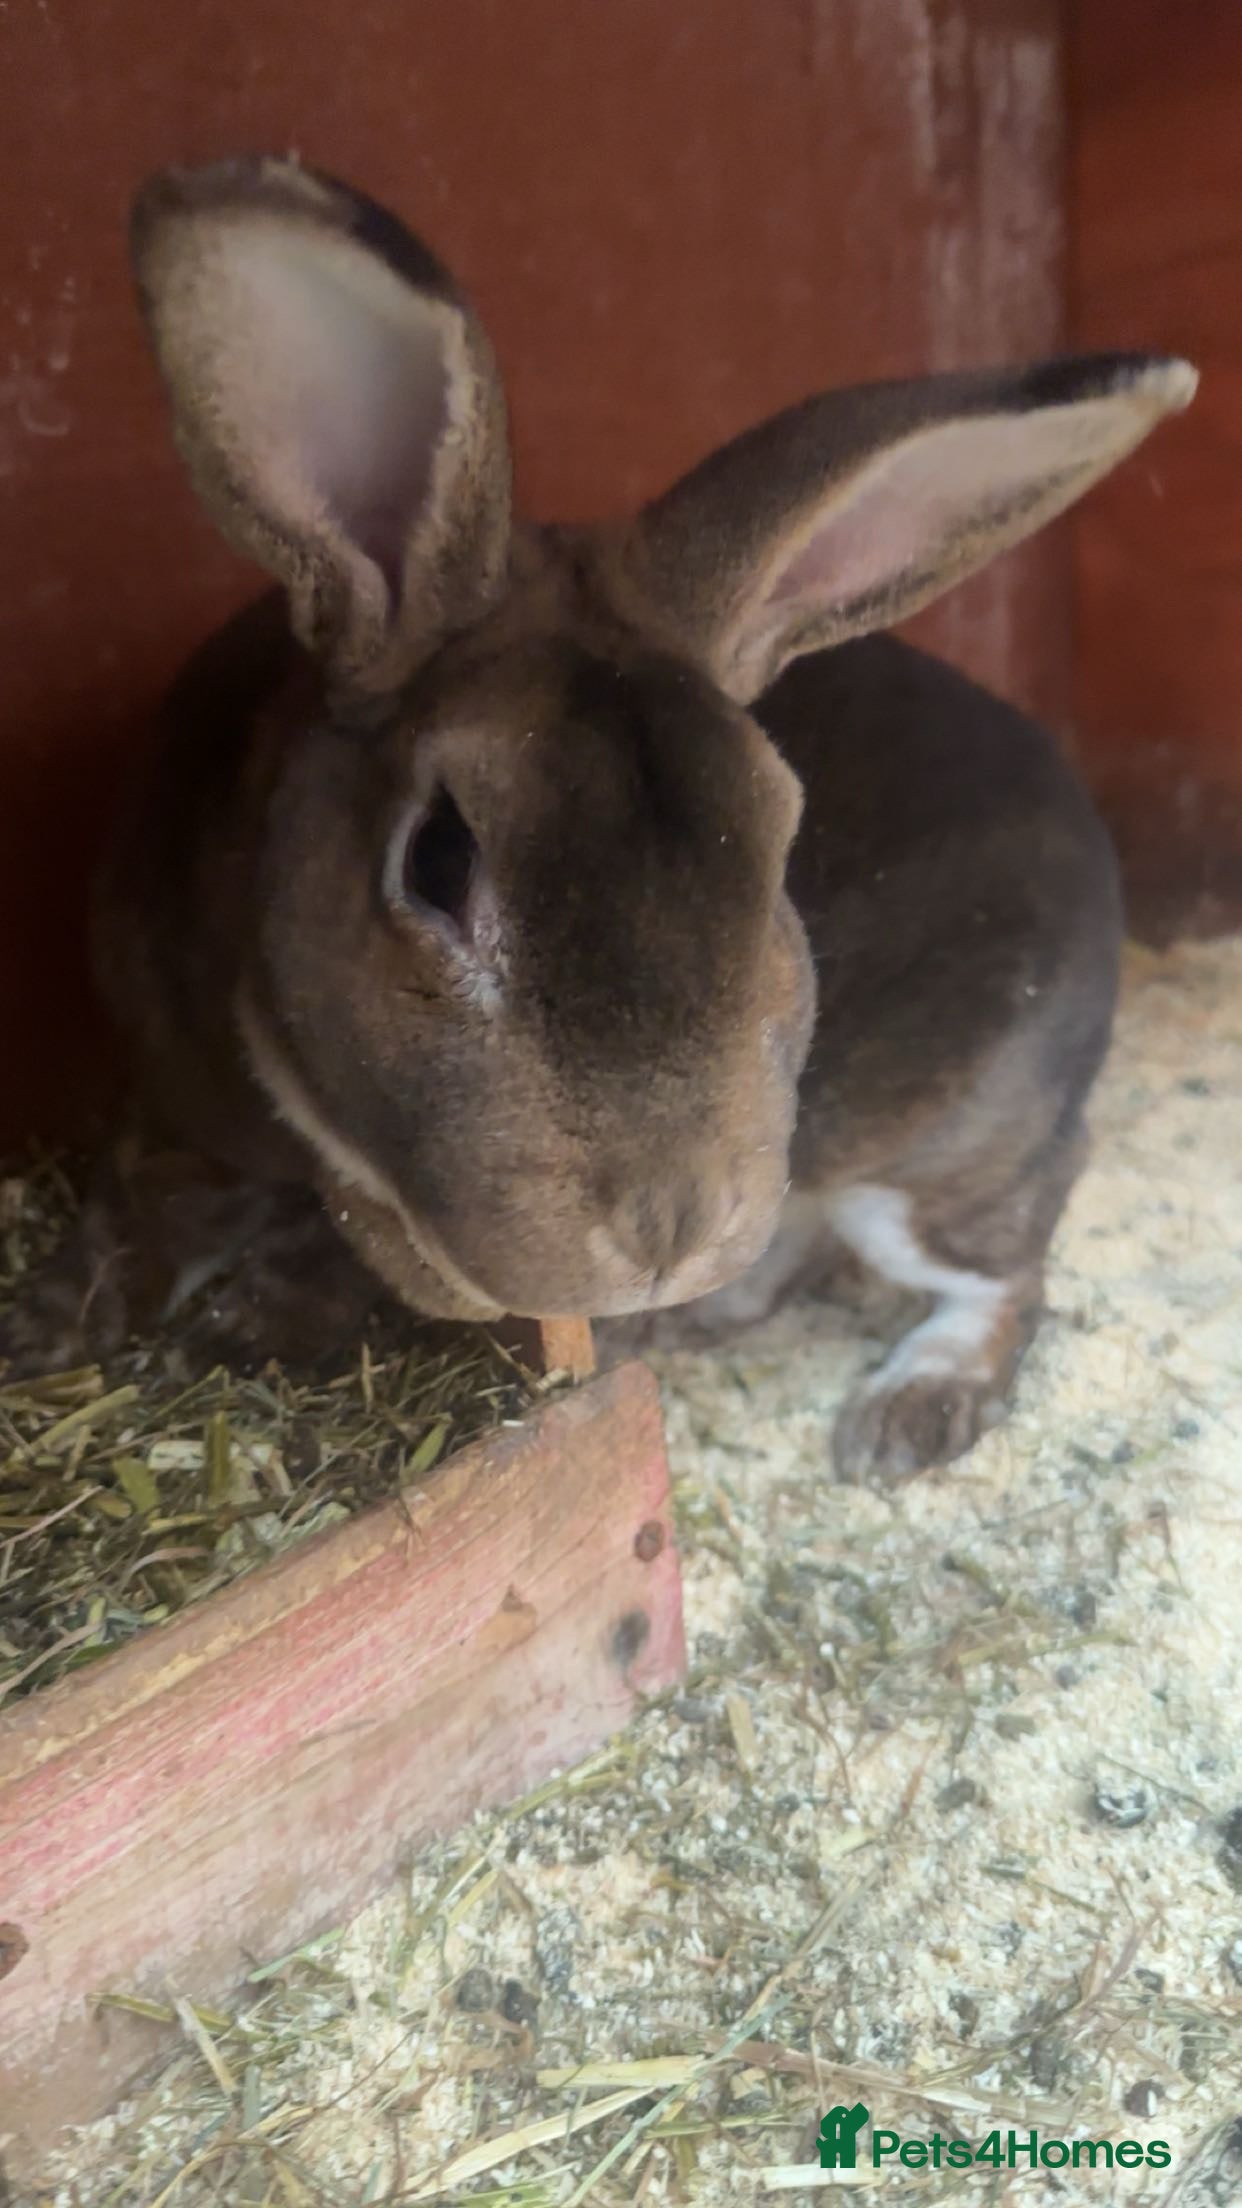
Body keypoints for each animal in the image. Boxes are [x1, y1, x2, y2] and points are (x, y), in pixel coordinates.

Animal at [0, 153, 1195, 1480]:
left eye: (782, 844)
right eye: (437, 860)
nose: (668, 1225)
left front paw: (243, 1324)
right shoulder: (167, 1104)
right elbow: (138, 1202)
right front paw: (48, 1328)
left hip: (941, 1149)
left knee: (1007, 1265)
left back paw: (903, 1414)